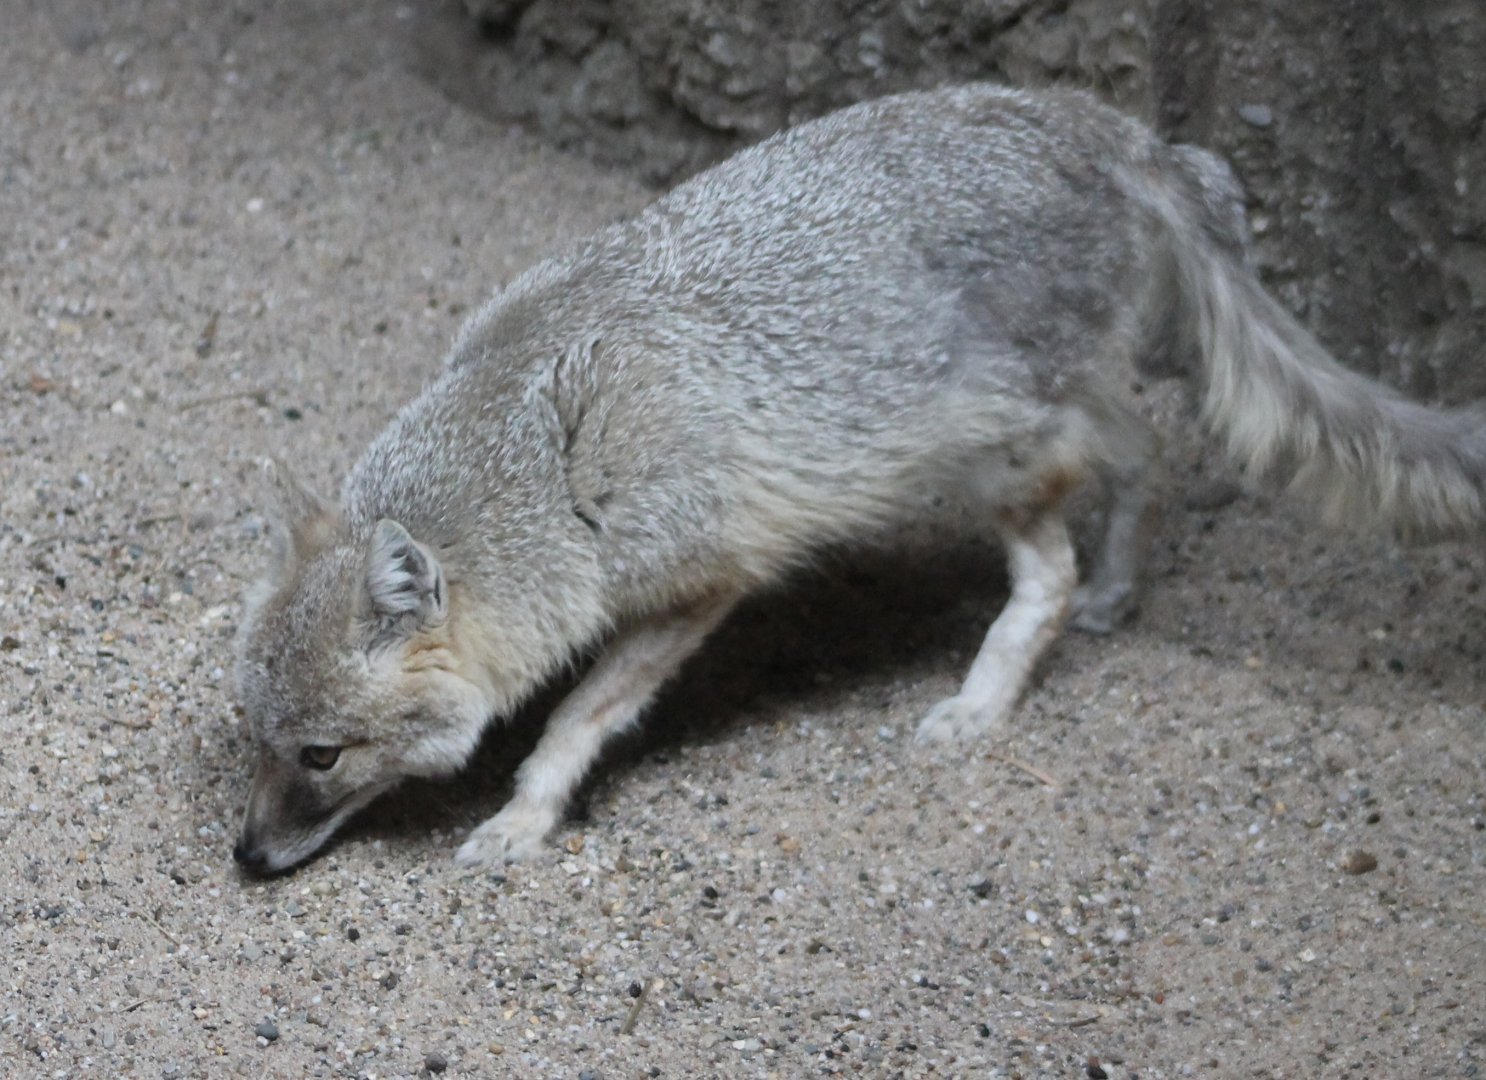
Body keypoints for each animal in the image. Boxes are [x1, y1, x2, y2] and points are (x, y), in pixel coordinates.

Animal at [231, 83, 1486, 874]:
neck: (543, 441)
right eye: (252, 741)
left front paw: (526, 816)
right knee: (1144, 452)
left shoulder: (700, 581)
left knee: (1049, 575)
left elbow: (576, 716)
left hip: (991, 456)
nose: (244, 858)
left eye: (322, 756)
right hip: (1054, 412)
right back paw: (1122, 589)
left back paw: (984, 699)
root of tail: (1119, 131)